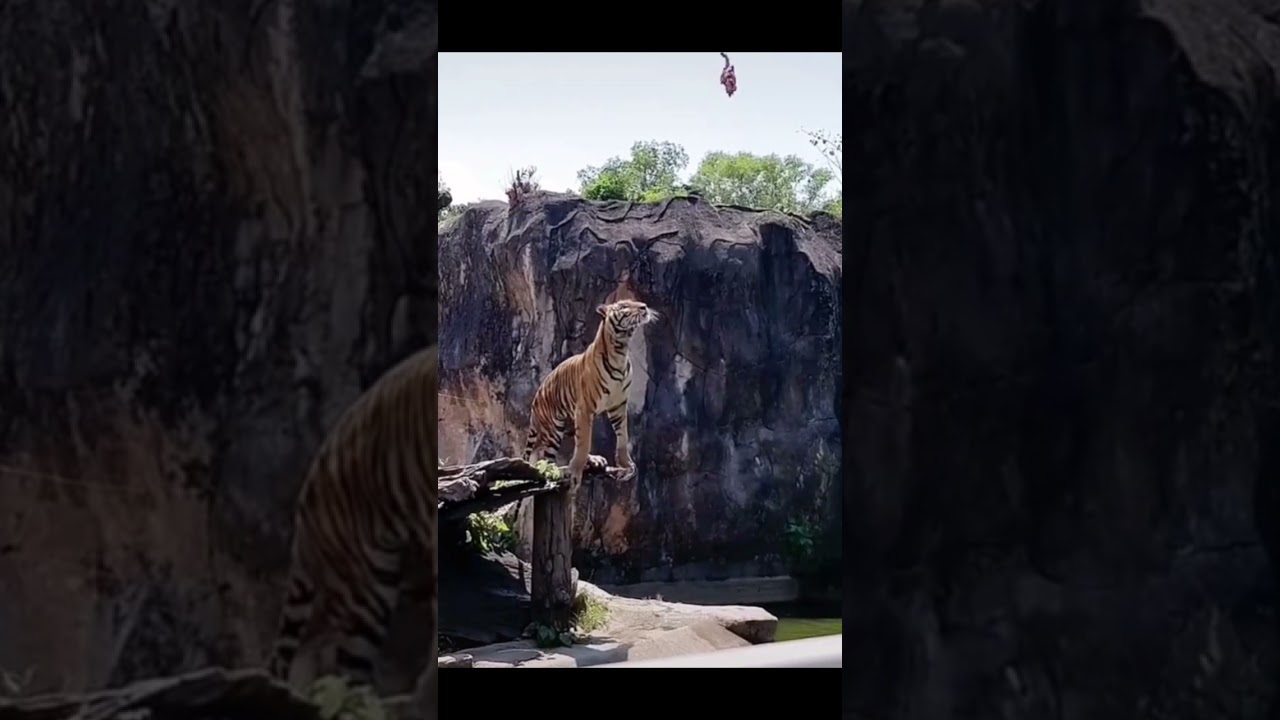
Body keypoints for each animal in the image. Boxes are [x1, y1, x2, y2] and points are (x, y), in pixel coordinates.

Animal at [523, 299, 659, 490]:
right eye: (624, 306)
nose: (644, 307)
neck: (620, 350)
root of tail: (536, 398)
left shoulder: (618, 406)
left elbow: (622, 437)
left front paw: (626, 464)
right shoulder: (585, 408)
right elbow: (584, 443)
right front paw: (574, 472)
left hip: (570, 422)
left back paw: (593, 460)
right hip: (554, 427)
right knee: (545, 455)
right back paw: (557, 470)